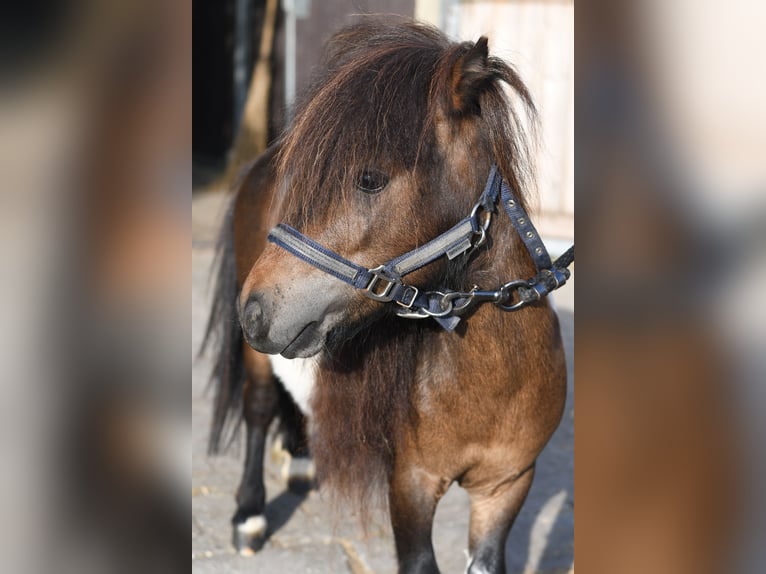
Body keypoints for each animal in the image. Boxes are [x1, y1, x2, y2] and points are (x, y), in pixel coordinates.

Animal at [208, 18, 570, 573]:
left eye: (370, 179)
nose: (254, 311)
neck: (494, 379)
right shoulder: (411, 485)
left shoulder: (506, 486)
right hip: (257, 361)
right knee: (260, 407)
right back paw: (249, 516)